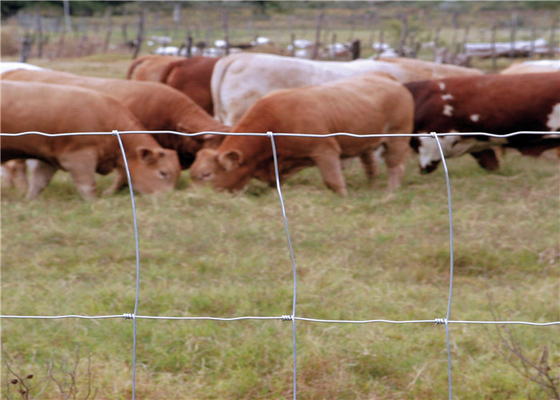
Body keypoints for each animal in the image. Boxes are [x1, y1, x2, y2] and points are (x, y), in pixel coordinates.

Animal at [0, 81, 179, 200]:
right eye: (163, 172)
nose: (168, 198)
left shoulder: (48, 159)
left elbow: (39, 182)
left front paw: (30, 201)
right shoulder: (79, 157)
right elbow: (87, 185)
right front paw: (95, 202)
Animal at [190, 72, 414, 198]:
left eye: (206, 174)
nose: (197, 197)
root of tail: (387, 78)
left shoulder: (325, 151)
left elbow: (333, 181)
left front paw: (344, 198)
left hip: (397, 137)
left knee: (395, 165)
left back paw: (391, 191)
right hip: (365, 141)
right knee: (370, 165)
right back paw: (372, 186)